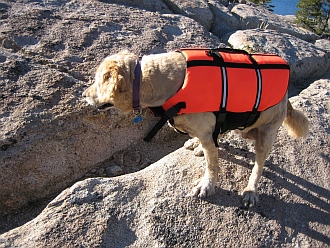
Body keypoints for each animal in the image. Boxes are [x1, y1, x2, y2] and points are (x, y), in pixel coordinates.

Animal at [83, 49, 310, 207]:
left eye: (98, 81)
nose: (84, 95)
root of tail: (287, 97)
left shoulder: (208, 134)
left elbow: (212, 165)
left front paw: (207, 185)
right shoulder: (208, 130)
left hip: (266, 134)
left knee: (258, 166)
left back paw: (251, 191)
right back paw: (197, 144)